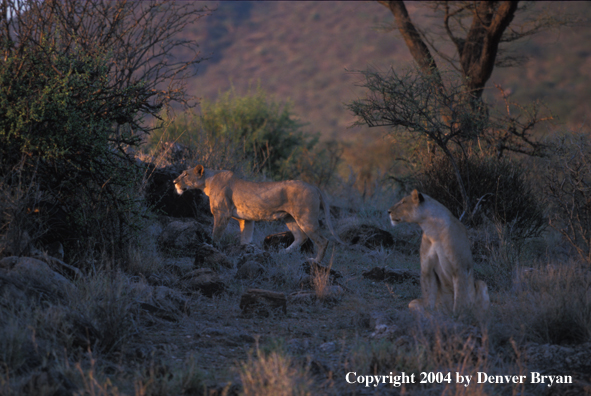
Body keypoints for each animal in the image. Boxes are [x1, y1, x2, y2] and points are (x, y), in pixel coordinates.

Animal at [173, 165, 342, 262]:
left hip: (306, 218)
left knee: (323, 240)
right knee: (301, 237)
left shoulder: (222, 214)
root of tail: (314, 187)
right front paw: (245, 253)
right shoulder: (246, 220)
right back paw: (282, 253)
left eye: (185, 175)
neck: (207, 181)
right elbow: (245, 238)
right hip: (289, 218)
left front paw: (211, 248)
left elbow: (216, 234)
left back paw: (315, 261)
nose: (174, 181)